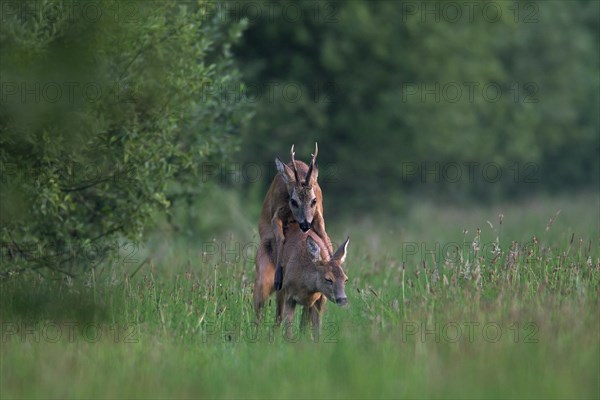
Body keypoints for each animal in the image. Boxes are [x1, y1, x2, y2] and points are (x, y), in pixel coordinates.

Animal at [253, 144, 332, 322]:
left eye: (313, 200)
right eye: (293, 201)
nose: (305, 224)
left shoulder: (318, 215)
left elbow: (325, 237)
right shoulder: (276, 214)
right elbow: (280, 238)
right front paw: (278, 276)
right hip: (262, 277)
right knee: (261, 306)